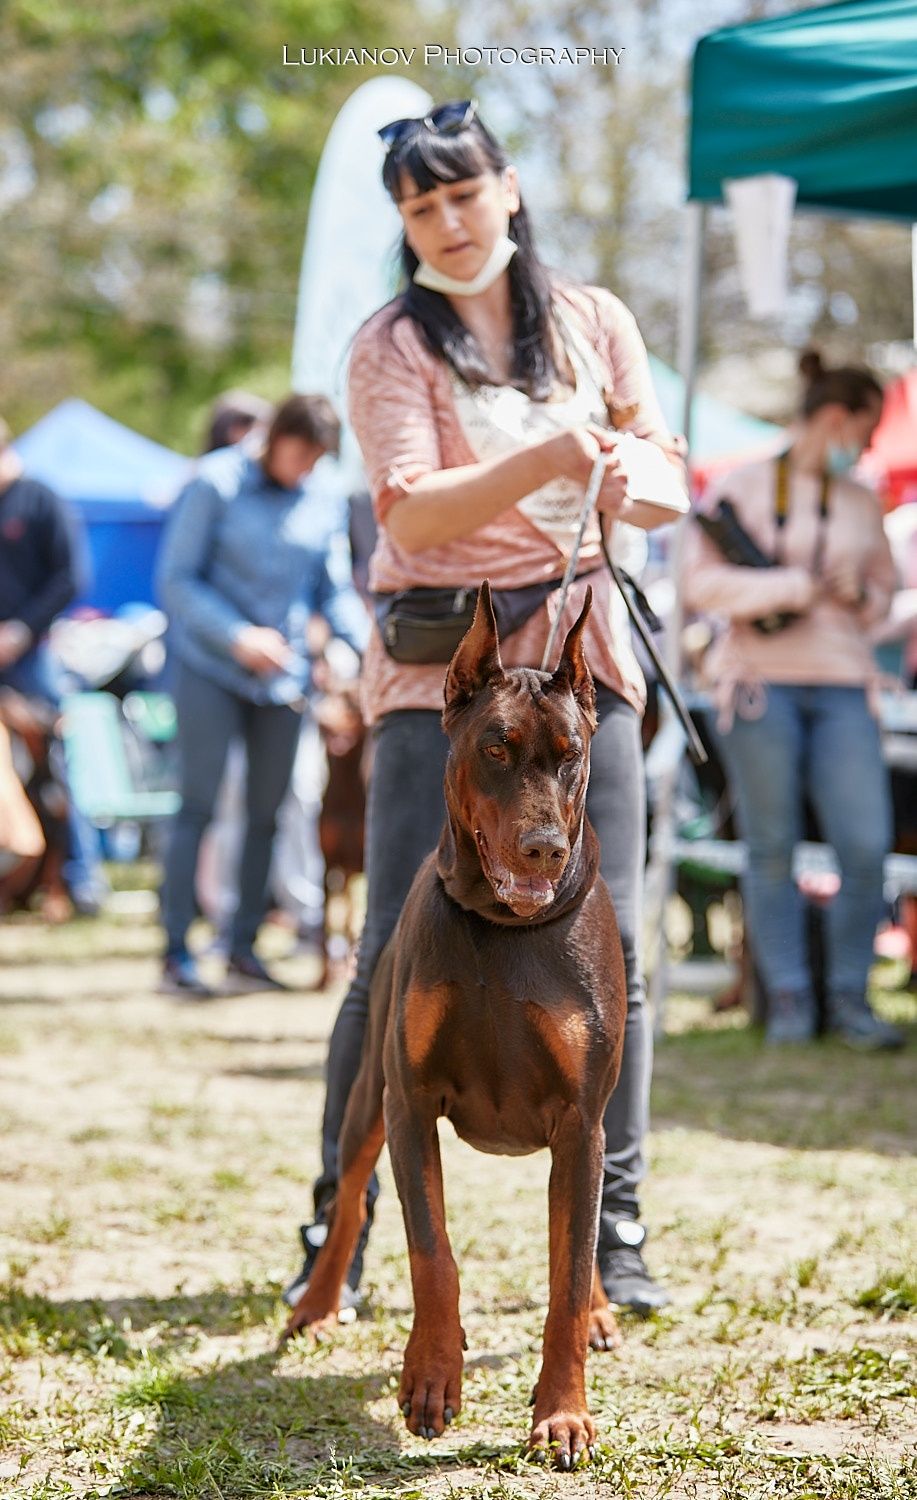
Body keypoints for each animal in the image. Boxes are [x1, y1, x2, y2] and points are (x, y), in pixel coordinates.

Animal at [285, 579, 630, 1470]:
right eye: (497, 749)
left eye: (571, 752)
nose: (543, 849)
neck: (503, 929)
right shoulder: (411, 1103)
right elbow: (431, 1253)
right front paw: (432, 1378)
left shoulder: (580, 1120)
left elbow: (567, 1273)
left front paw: (563, 1414)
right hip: (366, 1093)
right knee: (347, 1200)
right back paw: (316, 1304)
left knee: (580, 1235)